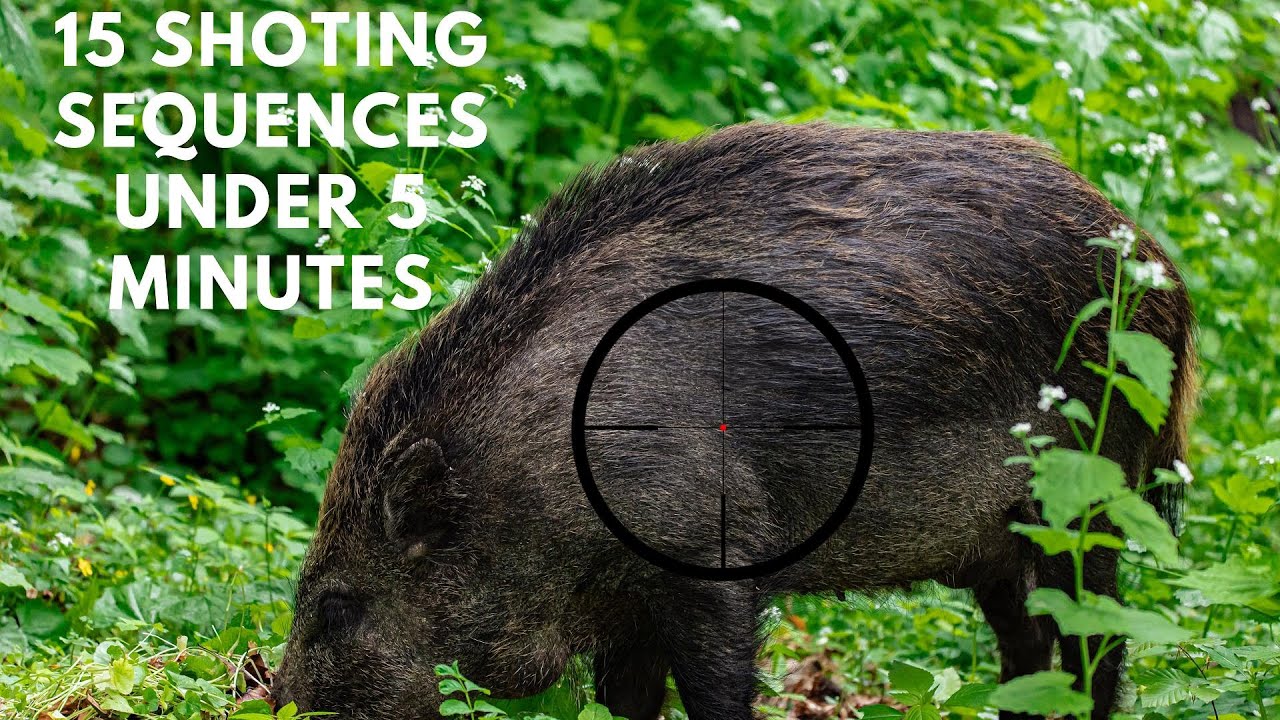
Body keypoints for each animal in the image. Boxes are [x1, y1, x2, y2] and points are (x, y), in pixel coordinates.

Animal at [273, 122, 1196, 720]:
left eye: (337, 605)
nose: (270, 703)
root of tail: (1159, 269)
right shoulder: (624, 606)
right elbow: (629, 703)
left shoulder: (710, 553)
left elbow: (717, 693)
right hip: (997, 539)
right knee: (1025, 648)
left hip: (1093, 494)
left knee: (1097, 645)